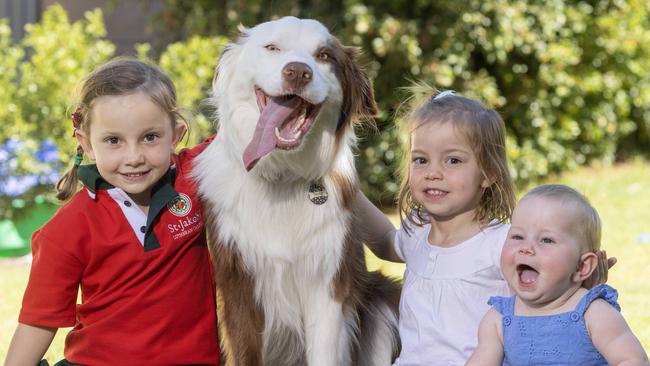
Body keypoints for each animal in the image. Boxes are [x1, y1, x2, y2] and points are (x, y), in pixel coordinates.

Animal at [195, 17, 400, 366]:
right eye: (272, 47)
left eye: (324, 56)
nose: (298, 72)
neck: (283, 176)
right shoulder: (238, 288)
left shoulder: (328, 285)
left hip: (383, 298)